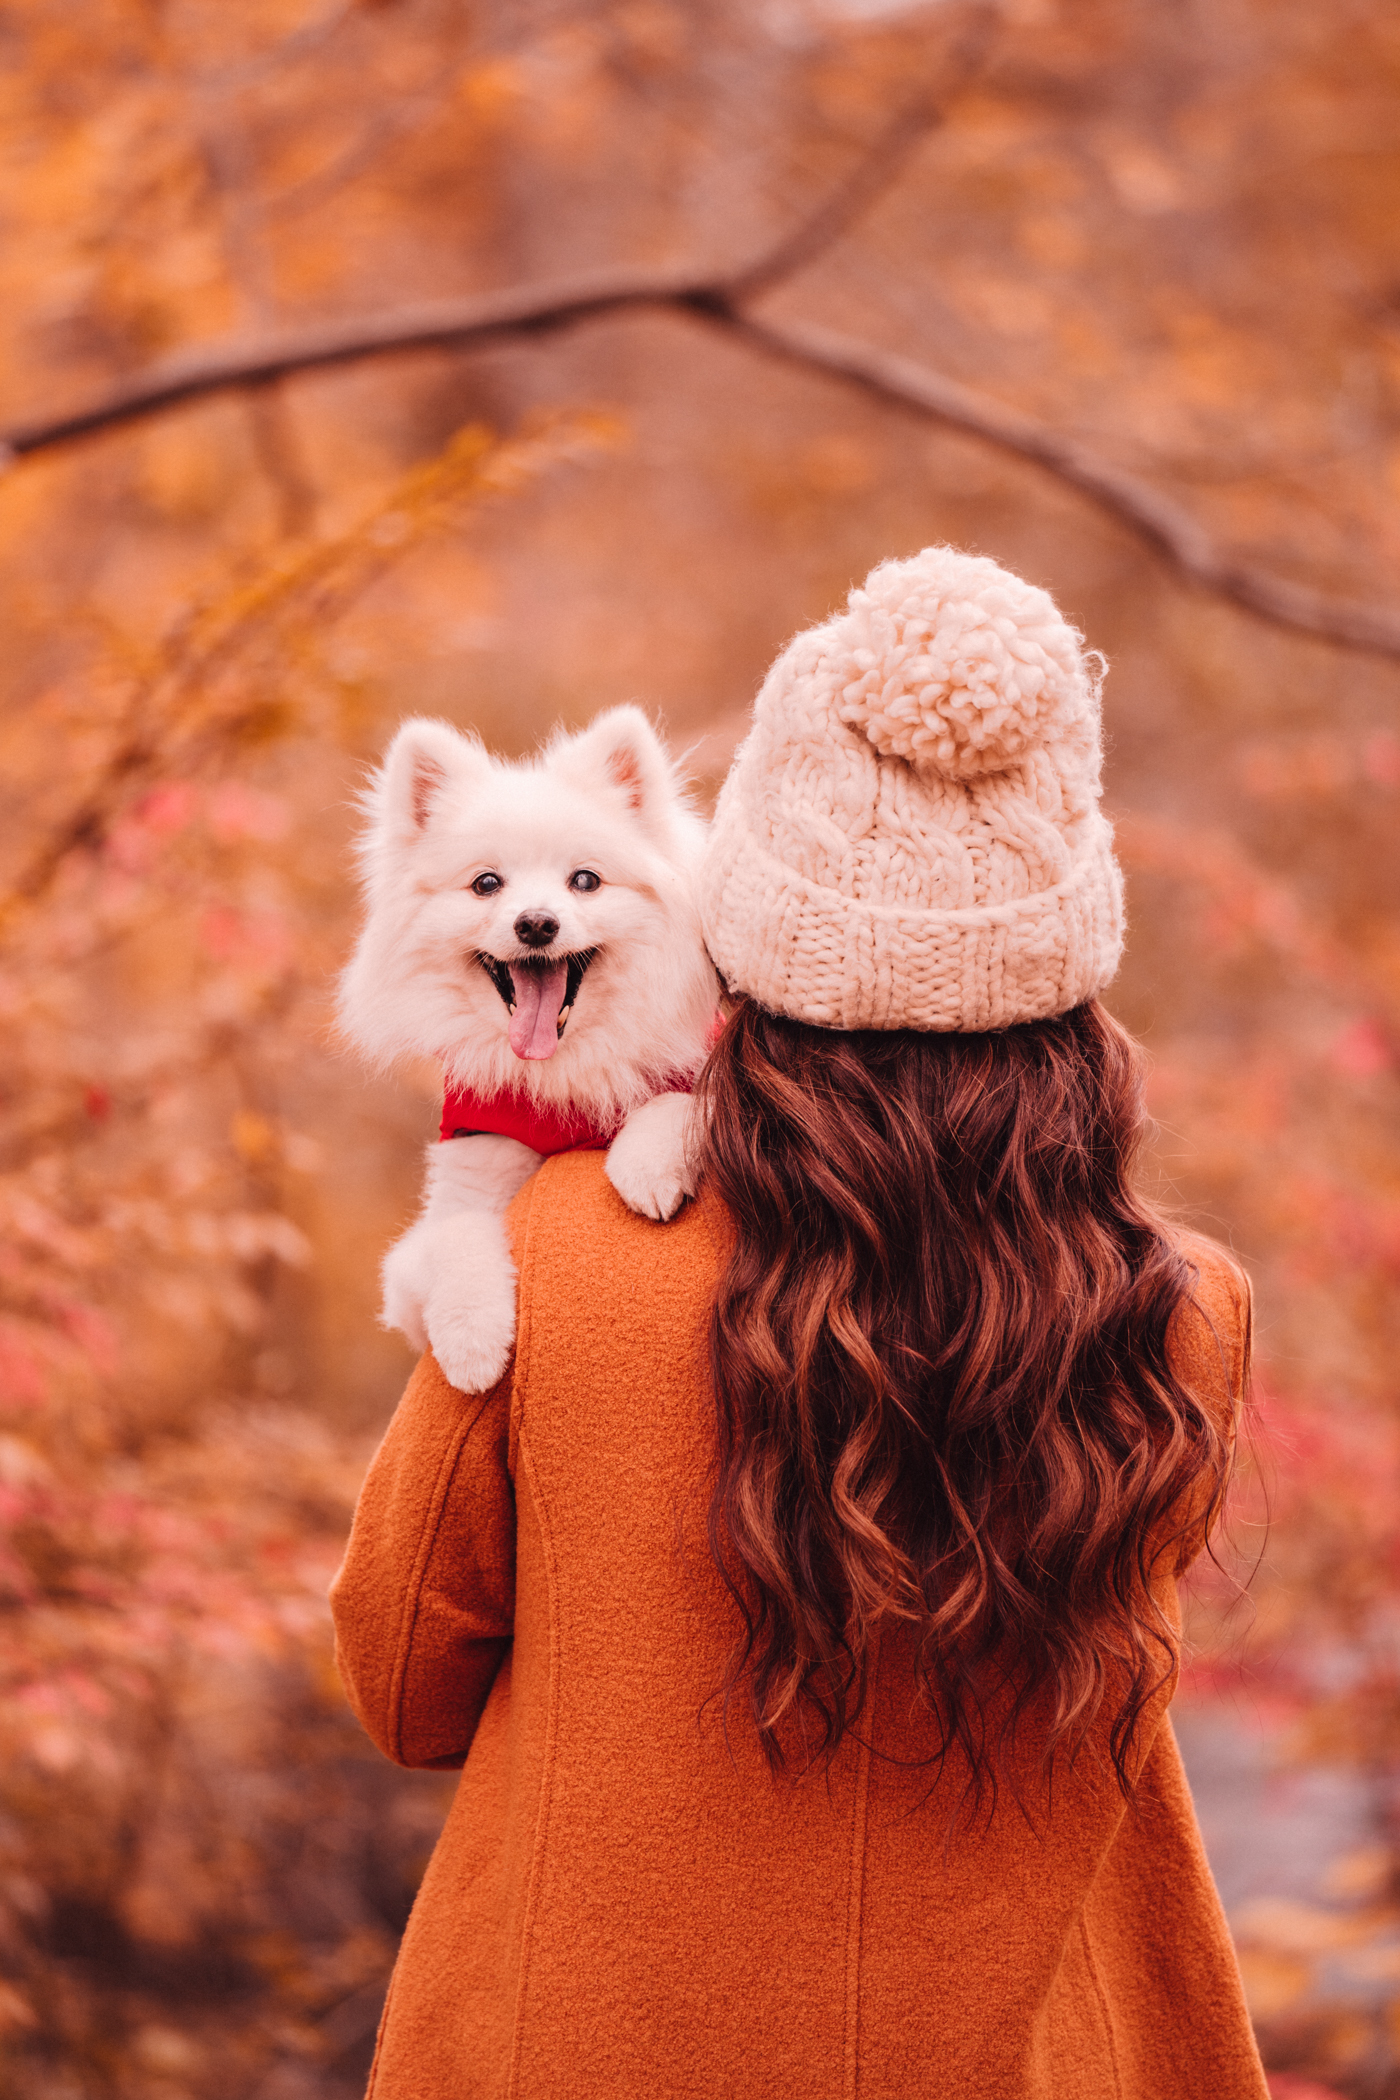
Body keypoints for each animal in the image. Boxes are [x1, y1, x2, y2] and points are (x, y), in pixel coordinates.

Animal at [333, 705, 717, 1394]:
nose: (536, 922)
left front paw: (645, 1164)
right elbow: (457, 1235)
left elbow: (680, 1096)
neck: (558, 1073)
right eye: (486, 884)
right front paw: (471, 1337)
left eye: (585, 880)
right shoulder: (456, 1192)